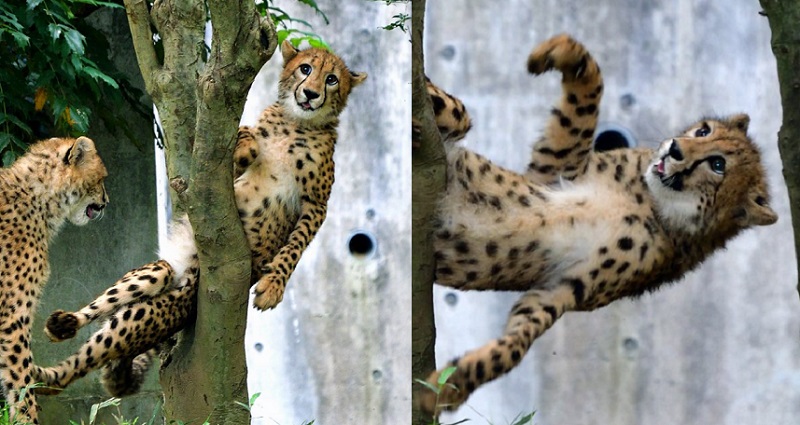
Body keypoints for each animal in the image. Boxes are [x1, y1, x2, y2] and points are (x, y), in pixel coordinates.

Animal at [31, 40, 366, 397]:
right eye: (305, 68)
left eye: (332, 79)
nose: (312, 94)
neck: (296, 123)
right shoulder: (218, 187)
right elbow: (235, 155)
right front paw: (245, 141)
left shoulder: (316, 205)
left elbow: (295, 248)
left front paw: (273, 286)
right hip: (155, 273)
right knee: (103, 316)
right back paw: (57, 332)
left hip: (168, 302)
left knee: (92, 356)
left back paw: (41, 375)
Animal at [418, 34, 778, 415]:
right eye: (703, 130)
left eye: (719, 164)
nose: (674, 149)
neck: (654, 204)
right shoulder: (549, 173)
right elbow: (586, 100)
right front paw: (560, 52)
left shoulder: (563, 288)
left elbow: (516, 345)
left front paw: (451, 384)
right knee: (459, 113)